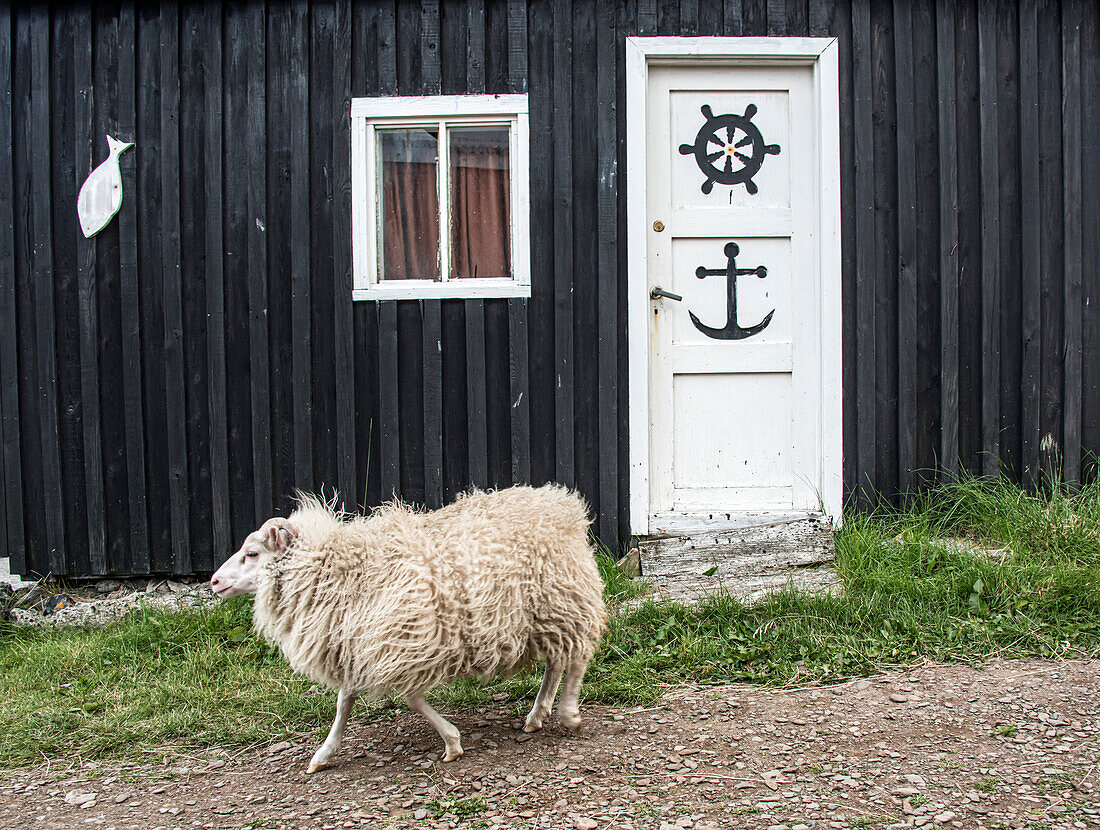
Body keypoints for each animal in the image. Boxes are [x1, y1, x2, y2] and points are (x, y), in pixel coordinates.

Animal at [210, 483, 607, 773]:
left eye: (252, 554)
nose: (214, 581)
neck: (340, 568)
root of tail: (560, 504)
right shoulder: (361, 645)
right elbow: (344, 701)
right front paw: (324, 754)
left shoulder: (406, 642)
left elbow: (411, 698)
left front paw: (452, 742)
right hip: (547, 615)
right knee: (558, 661)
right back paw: (537, 715)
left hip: (564, 601)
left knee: (575, 660)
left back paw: (568, 714)